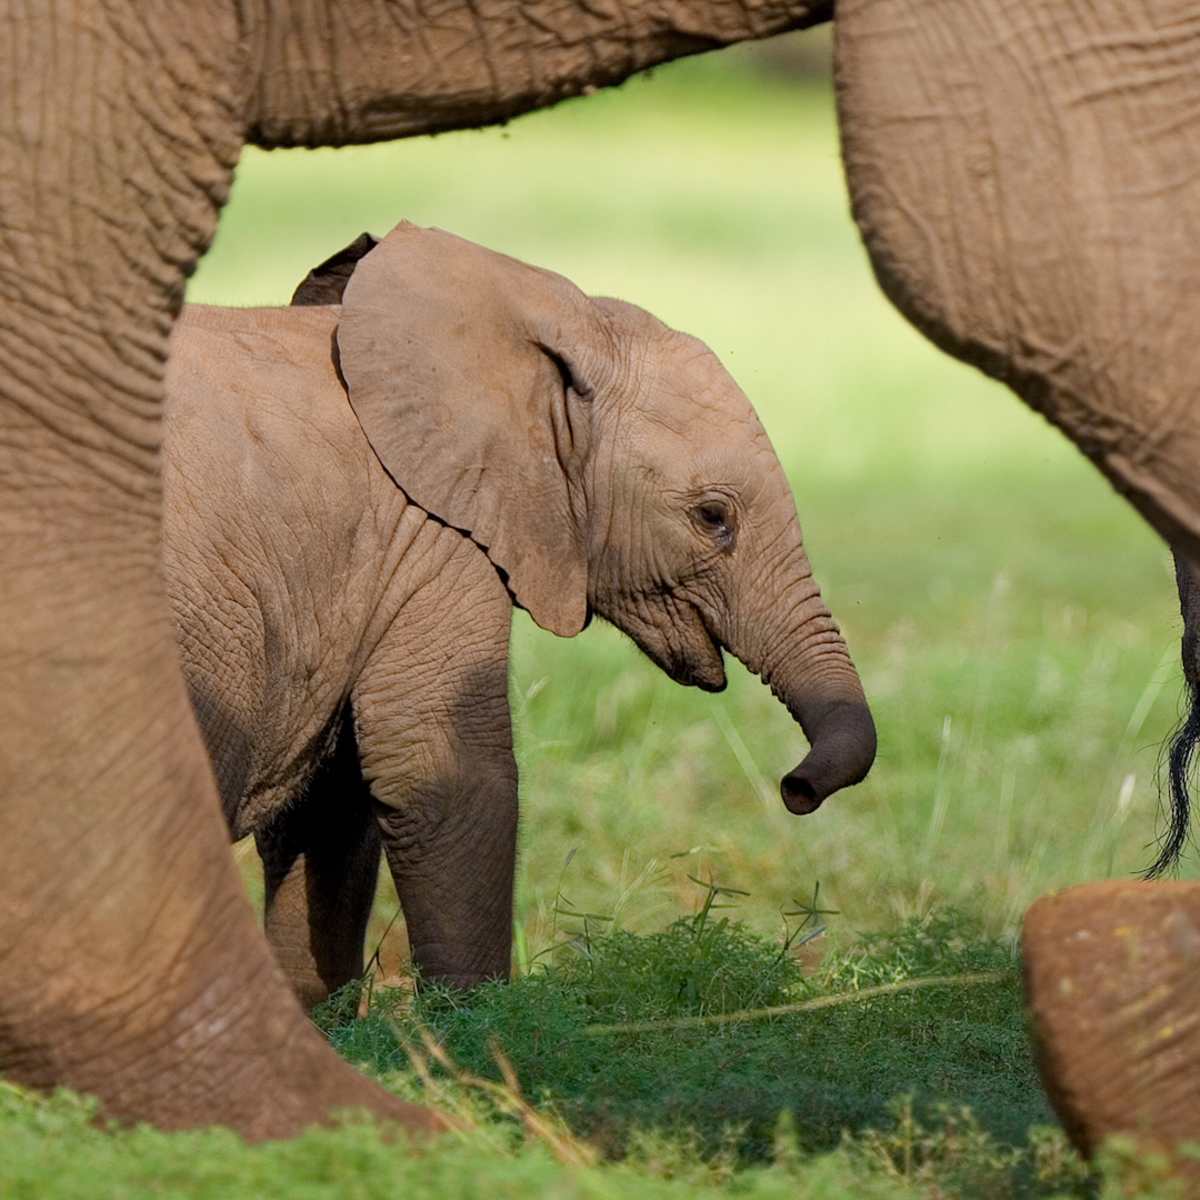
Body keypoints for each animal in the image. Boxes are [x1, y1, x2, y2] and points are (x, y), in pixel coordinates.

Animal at [164, 223, 878, 1003]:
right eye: (713, 518)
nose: (796, 788)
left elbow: (330, 807)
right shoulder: (430, 537)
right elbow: (447, 780)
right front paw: (481, 1026)